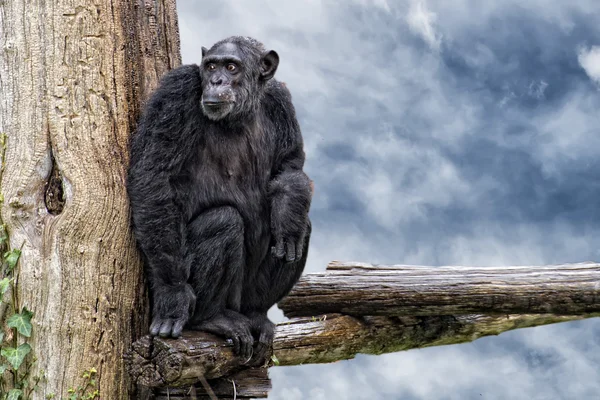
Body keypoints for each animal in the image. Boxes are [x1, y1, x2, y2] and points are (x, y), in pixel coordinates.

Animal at [127, 36, 314, 362]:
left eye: (231, 67)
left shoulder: (281, 99)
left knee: (301, 230)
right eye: (211, 66)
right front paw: (173, 294)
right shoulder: (176, 91)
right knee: (224, 221)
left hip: (246, 297)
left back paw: (257, 314)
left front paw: (288, 213)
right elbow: (154, 176)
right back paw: (210, 318)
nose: (216, 81)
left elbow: (289, 166)